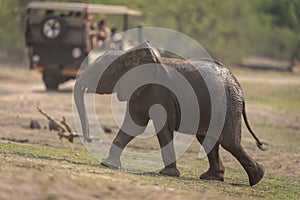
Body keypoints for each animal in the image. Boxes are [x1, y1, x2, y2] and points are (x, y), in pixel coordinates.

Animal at [74, 41, 266, 186]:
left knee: (228, 141)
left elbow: (162, 127)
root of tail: (236, 82)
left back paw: (256, 178)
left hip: (227, 104)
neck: (128, 55)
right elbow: (133, 127)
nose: (89, 139)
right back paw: (213, 177)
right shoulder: (140, 92)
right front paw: (108, 164)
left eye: (97, 73)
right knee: (207, 137)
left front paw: (168, 174)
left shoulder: (160, 93)